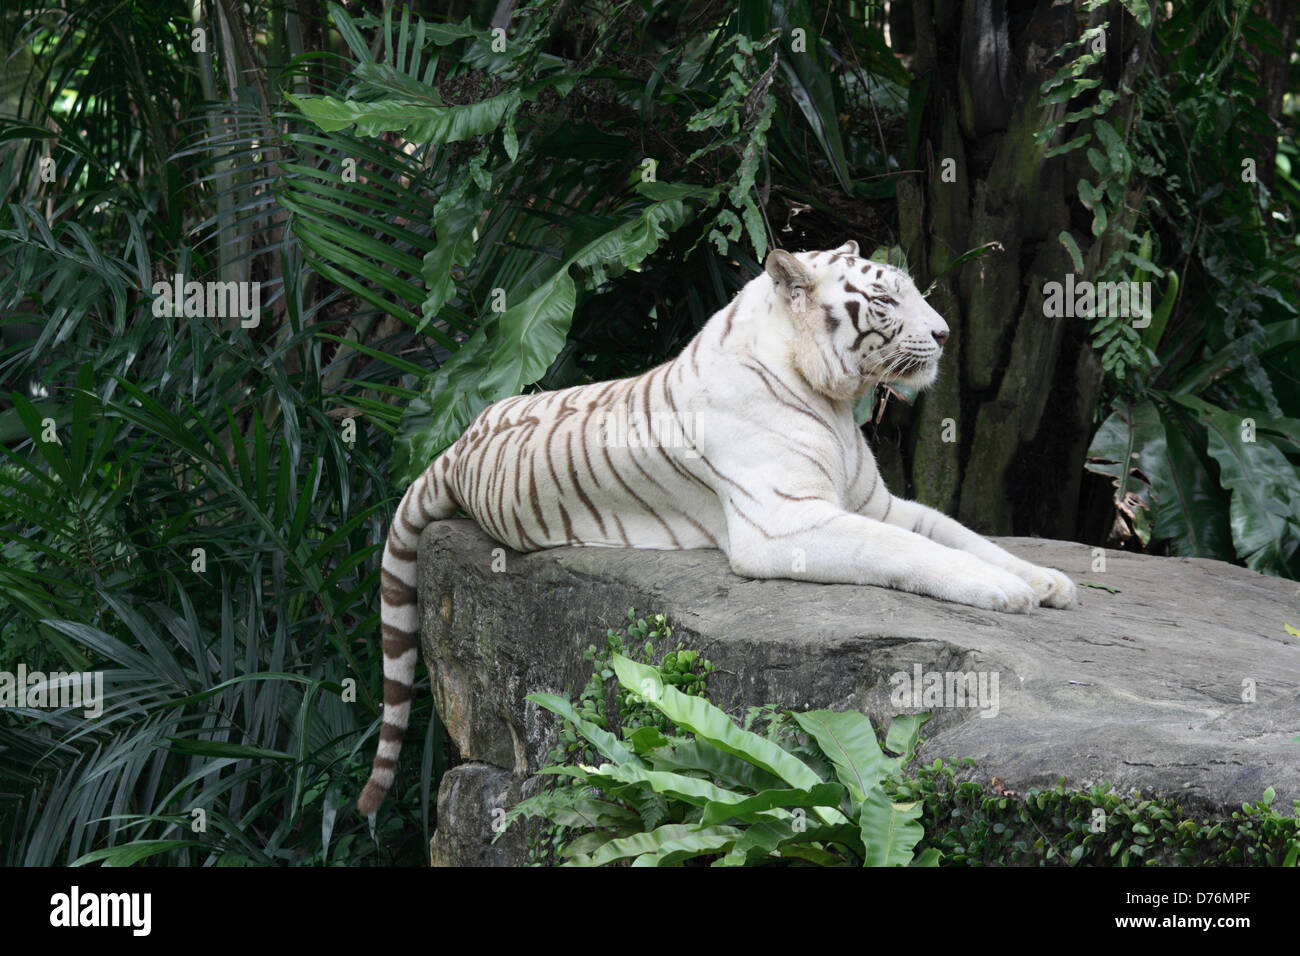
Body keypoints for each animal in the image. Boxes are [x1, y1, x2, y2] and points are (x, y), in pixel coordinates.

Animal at [358, 240, 1076, 816]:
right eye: (883, 299)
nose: (947, 334)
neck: (835, 403)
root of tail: (456, 441)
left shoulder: (878, 502)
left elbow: (959, 534)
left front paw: (1048, 580)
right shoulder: (785, 522)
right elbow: (907, 549)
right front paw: (1003, 593)